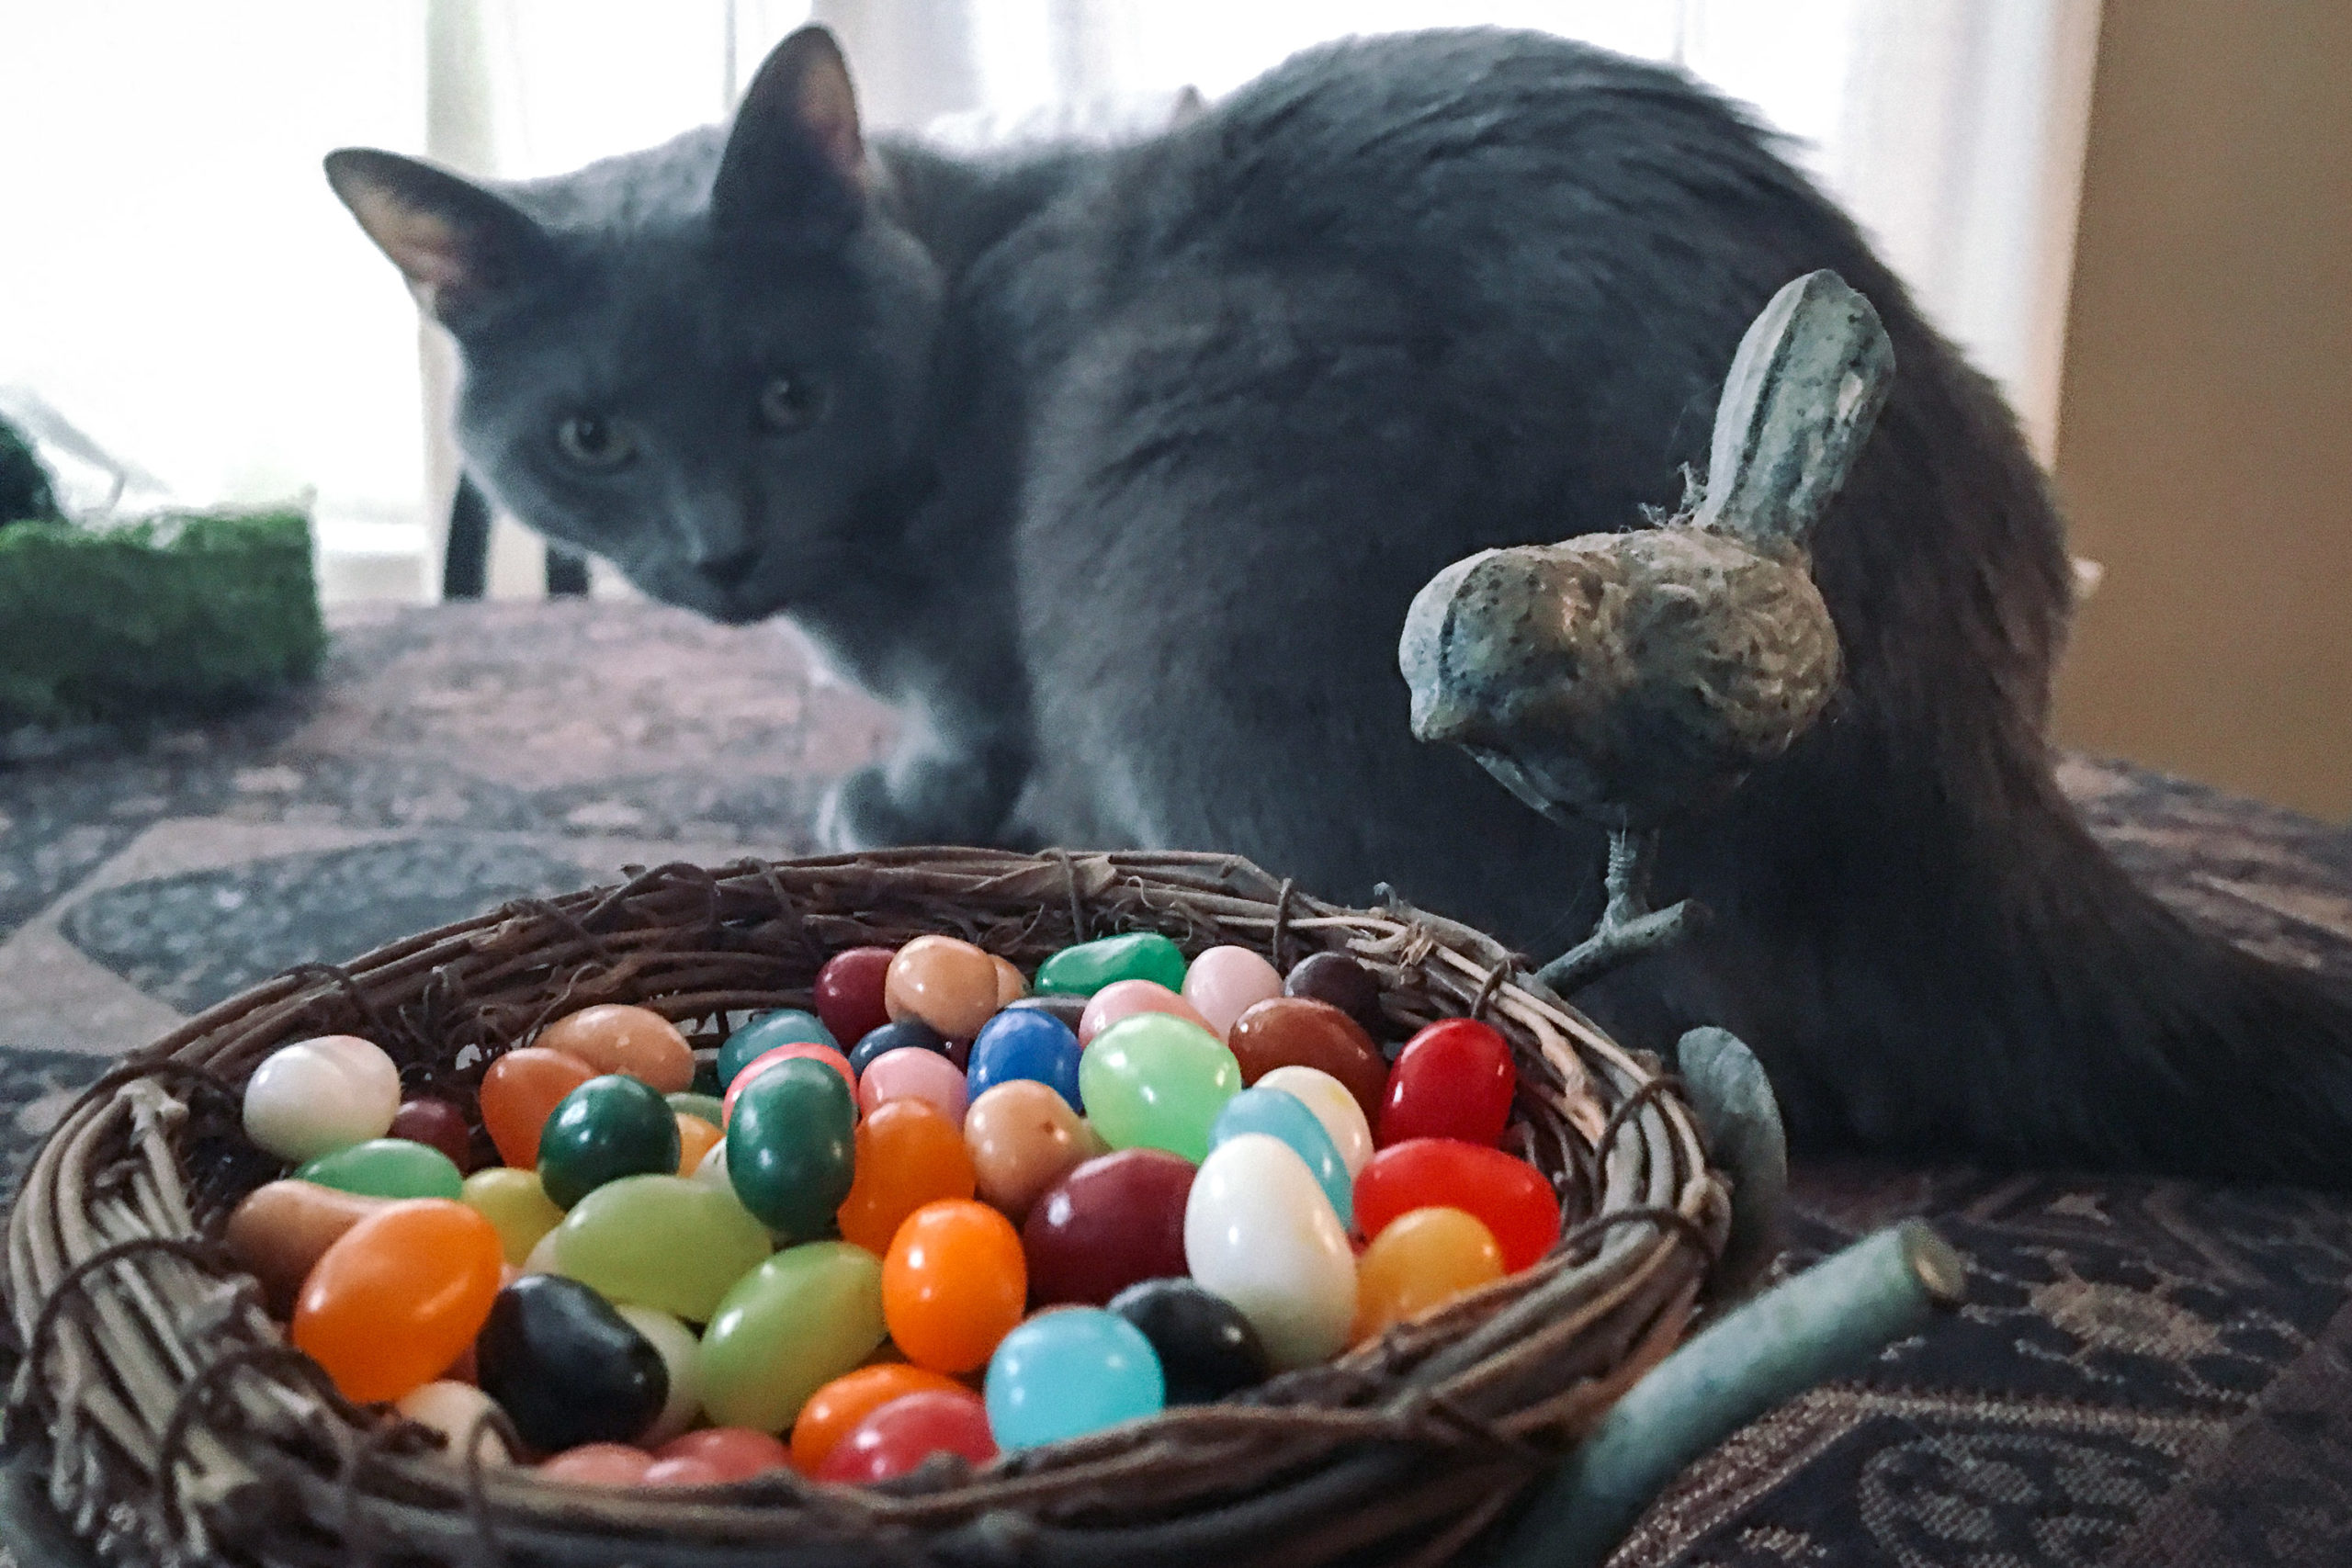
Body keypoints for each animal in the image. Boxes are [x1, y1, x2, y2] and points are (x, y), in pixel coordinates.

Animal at [326, 24, 2352, 1184]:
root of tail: (1969, 790)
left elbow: (963, 722)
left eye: (783, 398)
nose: (718, 548)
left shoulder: (993, 641)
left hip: (1182, 491)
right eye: (591, 438)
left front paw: (901, 791)